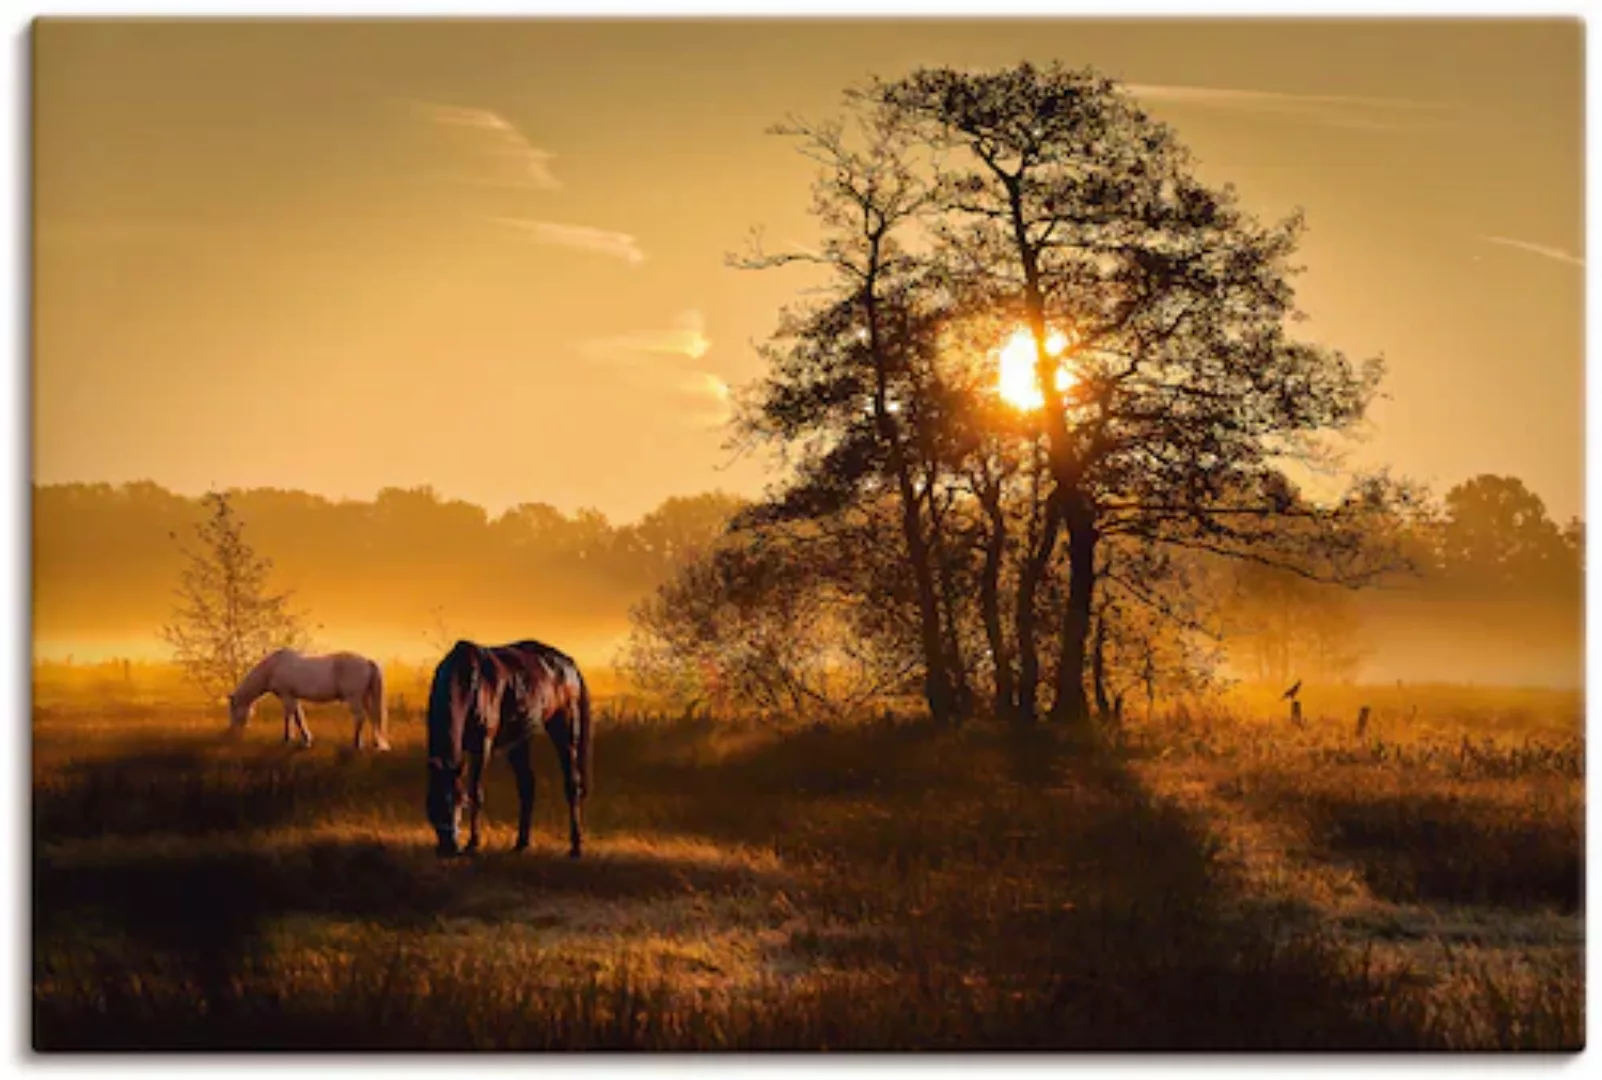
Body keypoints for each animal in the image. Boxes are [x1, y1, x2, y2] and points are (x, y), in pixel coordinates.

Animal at [225, 647, 390, 749]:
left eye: (233, 711)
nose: (233, 734)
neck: (273, 668)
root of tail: (367, 661)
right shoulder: (294, 697)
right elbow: (298, 718)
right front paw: (306, 740)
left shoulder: (286, 696)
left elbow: (288, 717)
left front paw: (287, 739)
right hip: (365, 698)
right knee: (373, 717)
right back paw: (376, 744)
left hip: (354, 698)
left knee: (361, 717)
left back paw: (356, 744)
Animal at [426, 640, 595, 858]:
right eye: (433, 802)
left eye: (461, 802)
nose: (450, 848)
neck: (468, 683)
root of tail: (569, 664)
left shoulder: (482, 745)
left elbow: (476, 791)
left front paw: (474, 843)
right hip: (520, 739)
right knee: (527, 785)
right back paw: (521, 843)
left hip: (564, 726)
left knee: (572, 784)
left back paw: (576, 847)